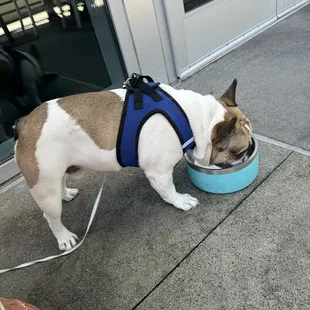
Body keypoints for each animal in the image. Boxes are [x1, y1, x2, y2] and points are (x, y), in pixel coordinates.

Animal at [13, 76, 253, 251]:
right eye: (238, 152)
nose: (248, 153)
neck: (194, 118)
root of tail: (22, 124)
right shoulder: (159, 172)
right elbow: (168, 190)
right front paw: (181, 201)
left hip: (54, 172)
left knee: (60, 181)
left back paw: (66, 193)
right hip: (44, 188)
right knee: (51, 216)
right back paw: (64, 238)